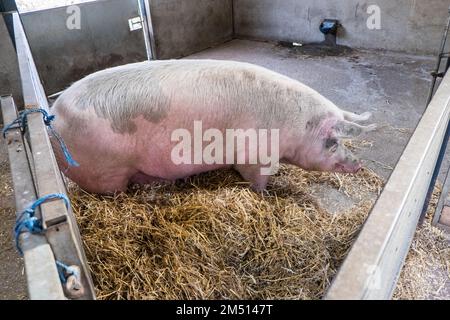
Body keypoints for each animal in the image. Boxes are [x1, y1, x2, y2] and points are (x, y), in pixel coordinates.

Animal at [51, 60, 376, 195]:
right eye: (333, 142)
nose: (359, 165)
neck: (294, 125)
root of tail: (53, 115)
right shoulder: (254, 156)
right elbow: (257, 181)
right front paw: (267, 195)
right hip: (107, 172)